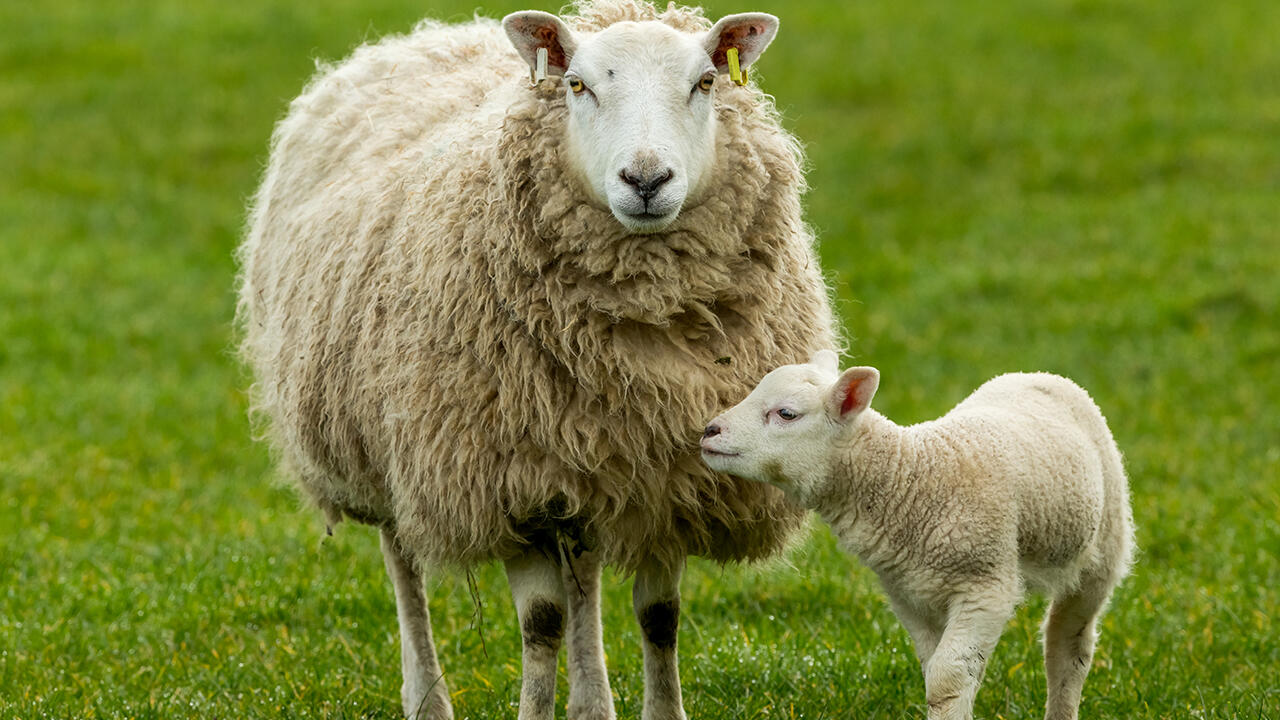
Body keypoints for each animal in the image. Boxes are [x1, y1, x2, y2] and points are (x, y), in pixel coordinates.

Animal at [238, 1, 839, 717]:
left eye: (705, 83)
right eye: (578, 85)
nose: (645, 180)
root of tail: (429, 35)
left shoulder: (665, 475)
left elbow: (659, 617)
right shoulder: (506, 481)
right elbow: (542, 622)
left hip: (582, 460)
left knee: (583, 571)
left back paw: (592, 701)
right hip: (382, 443)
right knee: (403, 560)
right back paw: (427, 697)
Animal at [701, 351, 1131, 717]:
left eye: (786, 413)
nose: (709, 431)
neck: (911, 479)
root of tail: (1040, 375)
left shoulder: (986, 588)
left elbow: (946, 678)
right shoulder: (908, 594)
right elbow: (937, 671)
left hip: (1103, 548)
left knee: (1067, 645)